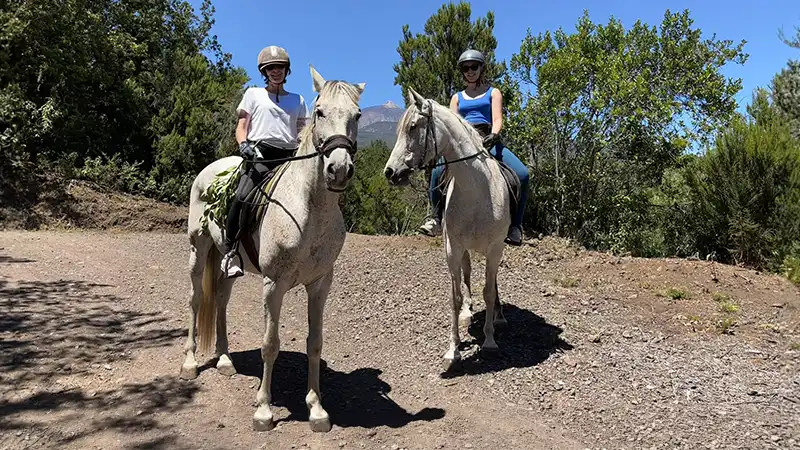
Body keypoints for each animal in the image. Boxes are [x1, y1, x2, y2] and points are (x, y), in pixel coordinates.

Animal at [179, 65, 365, 433]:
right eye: (320, 112)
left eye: (357, 115)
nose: (339, 170)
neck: (309, 208)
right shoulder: (274, 284)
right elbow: (270, 345)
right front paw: (264, 410)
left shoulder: (320, 284)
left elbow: (315, 343)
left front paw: (316, 409)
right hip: (198, 249)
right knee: (195, 300)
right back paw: (191, 362)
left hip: (228, 263)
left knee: (220, 300)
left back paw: (224, 359)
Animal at [383, 87, 511, 372]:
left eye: (413, 127)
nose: (390, 172)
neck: (477, 189)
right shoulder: (453, 249)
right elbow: (455, 297)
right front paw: (453, 350)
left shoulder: (494, 249)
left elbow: (488, 290)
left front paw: (490, 340)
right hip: (463, 250)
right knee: (467, 276)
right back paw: (468, 313)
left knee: (492, 281)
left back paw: (498, 316)